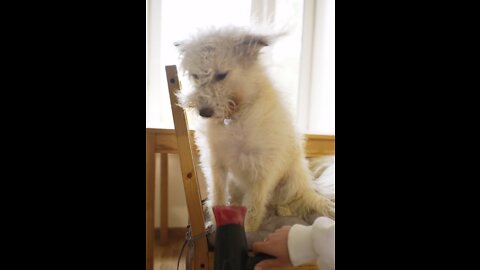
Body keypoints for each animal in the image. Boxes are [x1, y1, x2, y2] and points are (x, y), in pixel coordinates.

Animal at [174, 26, 336, 231]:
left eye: (221, 75)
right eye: (195, 76)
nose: (204, 112)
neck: (235, 116)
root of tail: (308, 189)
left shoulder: (262, 168)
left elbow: (254, 206)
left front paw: (248, 231)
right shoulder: (216, 164)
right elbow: (218, 196)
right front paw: (217, 221)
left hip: (290, 183)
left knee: (294, 202)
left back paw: (284, 210)